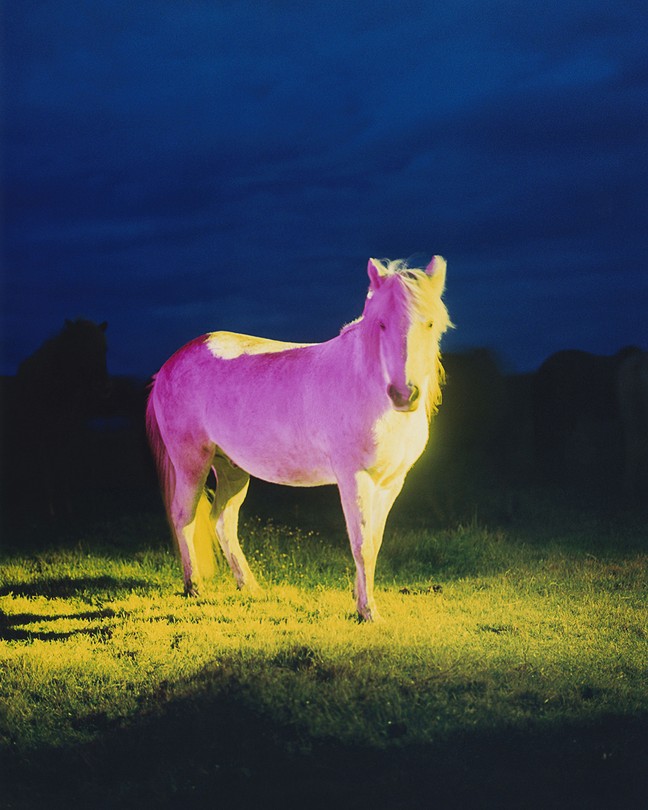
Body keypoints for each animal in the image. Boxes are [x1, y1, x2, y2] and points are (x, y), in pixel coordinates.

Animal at [146, 256, 450, 621]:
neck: (367, 387)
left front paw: (361, 598)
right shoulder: (354, 478)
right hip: (192, 462)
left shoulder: (392, 481)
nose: (404, 395)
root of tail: (166, 367)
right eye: (381, 324)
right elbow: (361, 542)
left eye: (430, 323)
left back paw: (249, 585)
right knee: (184, 516)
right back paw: (193, 586)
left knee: (223, 521)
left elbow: (374, 541)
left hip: (233, 469)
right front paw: (367, 612)